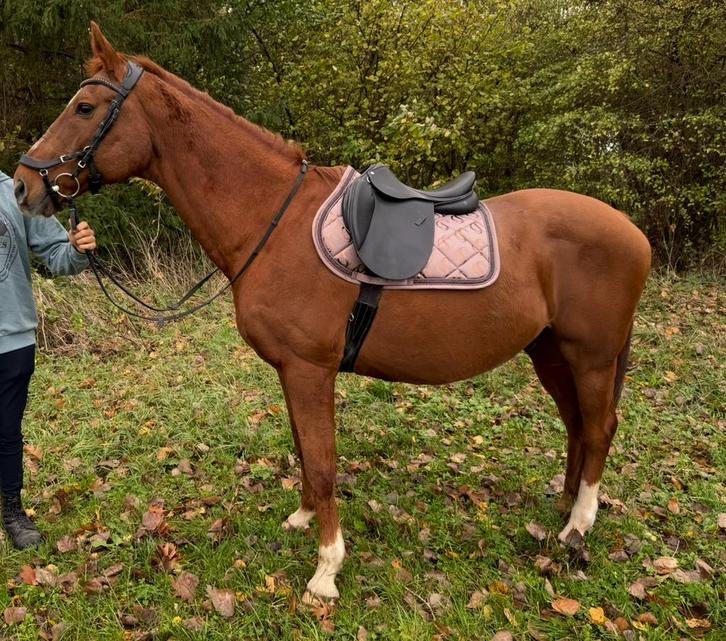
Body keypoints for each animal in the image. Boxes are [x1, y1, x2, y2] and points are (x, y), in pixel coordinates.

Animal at [13, 23, 651, 601]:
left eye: (85, 107)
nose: (22, 186)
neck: (273, 218)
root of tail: (633, 232)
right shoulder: (290, 371)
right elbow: (302, 448)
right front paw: (301, 519)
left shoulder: (309, 370)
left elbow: (321, 462)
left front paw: (326, 569)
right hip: (550, 352)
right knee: (577, 426)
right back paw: (563, 509)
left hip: (591, 357)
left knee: (600, 427)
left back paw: (577, 529)